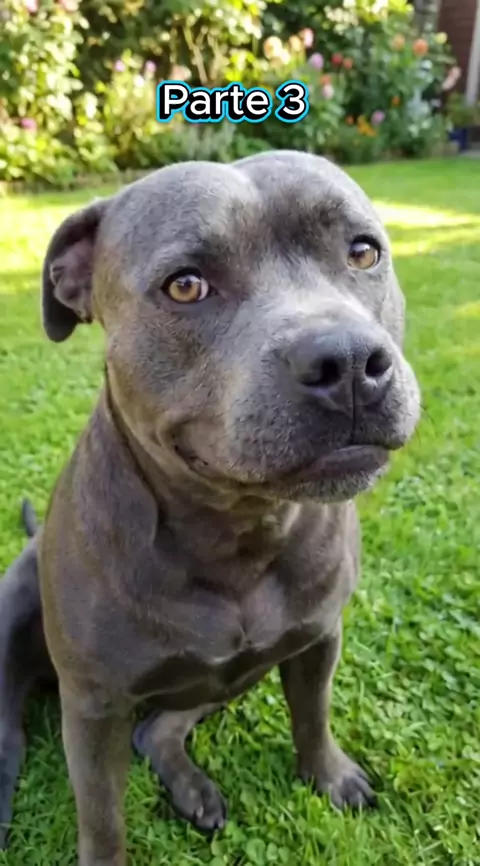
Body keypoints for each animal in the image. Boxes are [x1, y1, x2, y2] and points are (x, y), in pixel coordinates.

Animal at [0, 150, 420, 865]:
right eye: (186, 287)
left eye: (363, 252)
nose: (347, 360)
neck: (238, 529)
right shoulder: (93, 707)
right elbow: (102, 818)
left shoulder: (318, 638)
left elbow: (313, 715)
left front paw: (328, 776)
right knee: (8, 725)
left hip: (232, 676)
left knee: (158, 727)